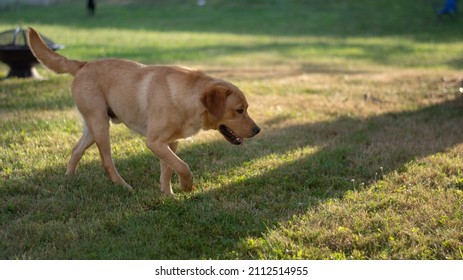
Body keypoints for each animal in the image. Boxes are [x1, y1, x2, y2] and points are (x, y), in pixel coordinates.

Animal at [28, 27, 260, 195]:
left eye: (247, 108)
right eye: (239, 110)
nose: (258, 130)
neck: (187, 99)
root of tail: (83, 64)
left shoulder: (170, 143)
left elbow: (168, 169)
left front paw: (168, 195)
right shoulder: (155, 142)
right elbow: (182, 166)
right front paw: (186, 186)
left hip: (93, 127)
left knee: (76, 150)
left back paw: (68, 180)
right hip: (100, 125)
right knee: (106, 161)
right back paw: (123, 186)